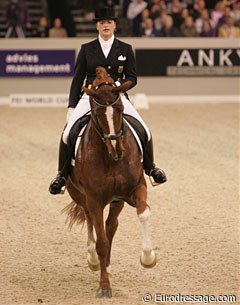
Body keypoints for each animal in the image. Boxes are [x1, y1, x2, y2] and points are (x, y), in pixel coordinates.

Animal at [62, 66, 157, 296]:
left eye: (121, 109)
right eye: (98, 113)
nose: (117, 150)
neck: (110, 158)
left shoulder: (136, 188)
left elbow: (143, 213)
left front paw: (148, 257)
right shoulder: (94, 199)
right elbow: (101, 242)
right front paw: (104, 286)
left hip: (116, 201)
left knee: (111, 226)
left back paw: (108, 265)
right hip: (80, 195)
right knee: (91, 220)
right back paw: (94, 260)